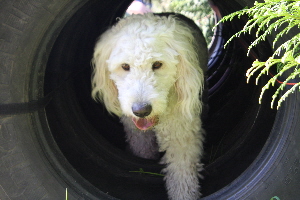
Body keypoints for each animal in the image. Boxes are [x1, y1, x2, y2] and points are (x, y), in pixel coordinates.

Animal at [91, 12, 207, 200]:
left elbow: (182, 175)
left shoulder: (181, 134)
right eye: (125, 66)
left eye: (157, 64)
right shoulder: (138, 133)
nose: (141, 110)